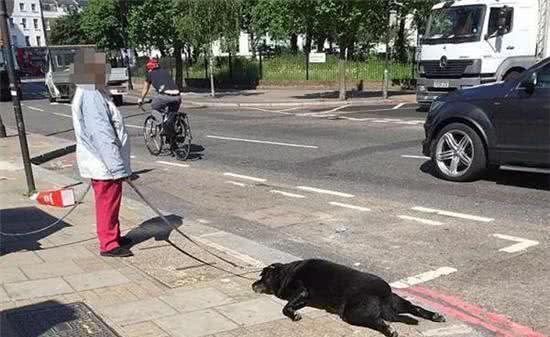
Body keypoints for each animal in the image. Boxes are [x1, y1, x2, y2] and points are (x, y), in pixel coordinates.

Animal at [252, 258, 446, 334]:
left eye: (263, 276)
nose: (252, 284)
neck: (285, 273)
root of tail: (382, 294)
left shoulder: (301, 291)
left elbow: (286, 307)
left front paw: (293, 314)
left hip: (354, 313)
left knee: (378, 321)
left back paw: (388, 330)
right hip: (397, 302)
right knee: (415, 307)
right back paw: (434, 316)